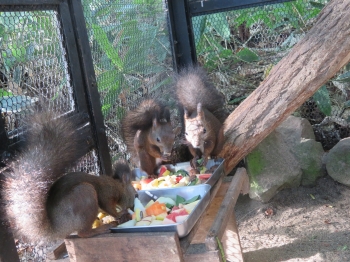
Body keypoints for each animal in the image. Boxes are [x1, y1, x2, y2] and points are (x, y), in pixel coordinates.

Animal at [1, 111, 135, 244]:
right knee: (83, 233)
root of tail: (57, 230)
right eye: (135, 194)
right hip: (85, 196)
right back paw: (102, 228)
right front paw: (120, 214)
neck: (117, 185)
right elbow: (107, 206)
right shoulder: (106, 193)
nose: (133, 207)